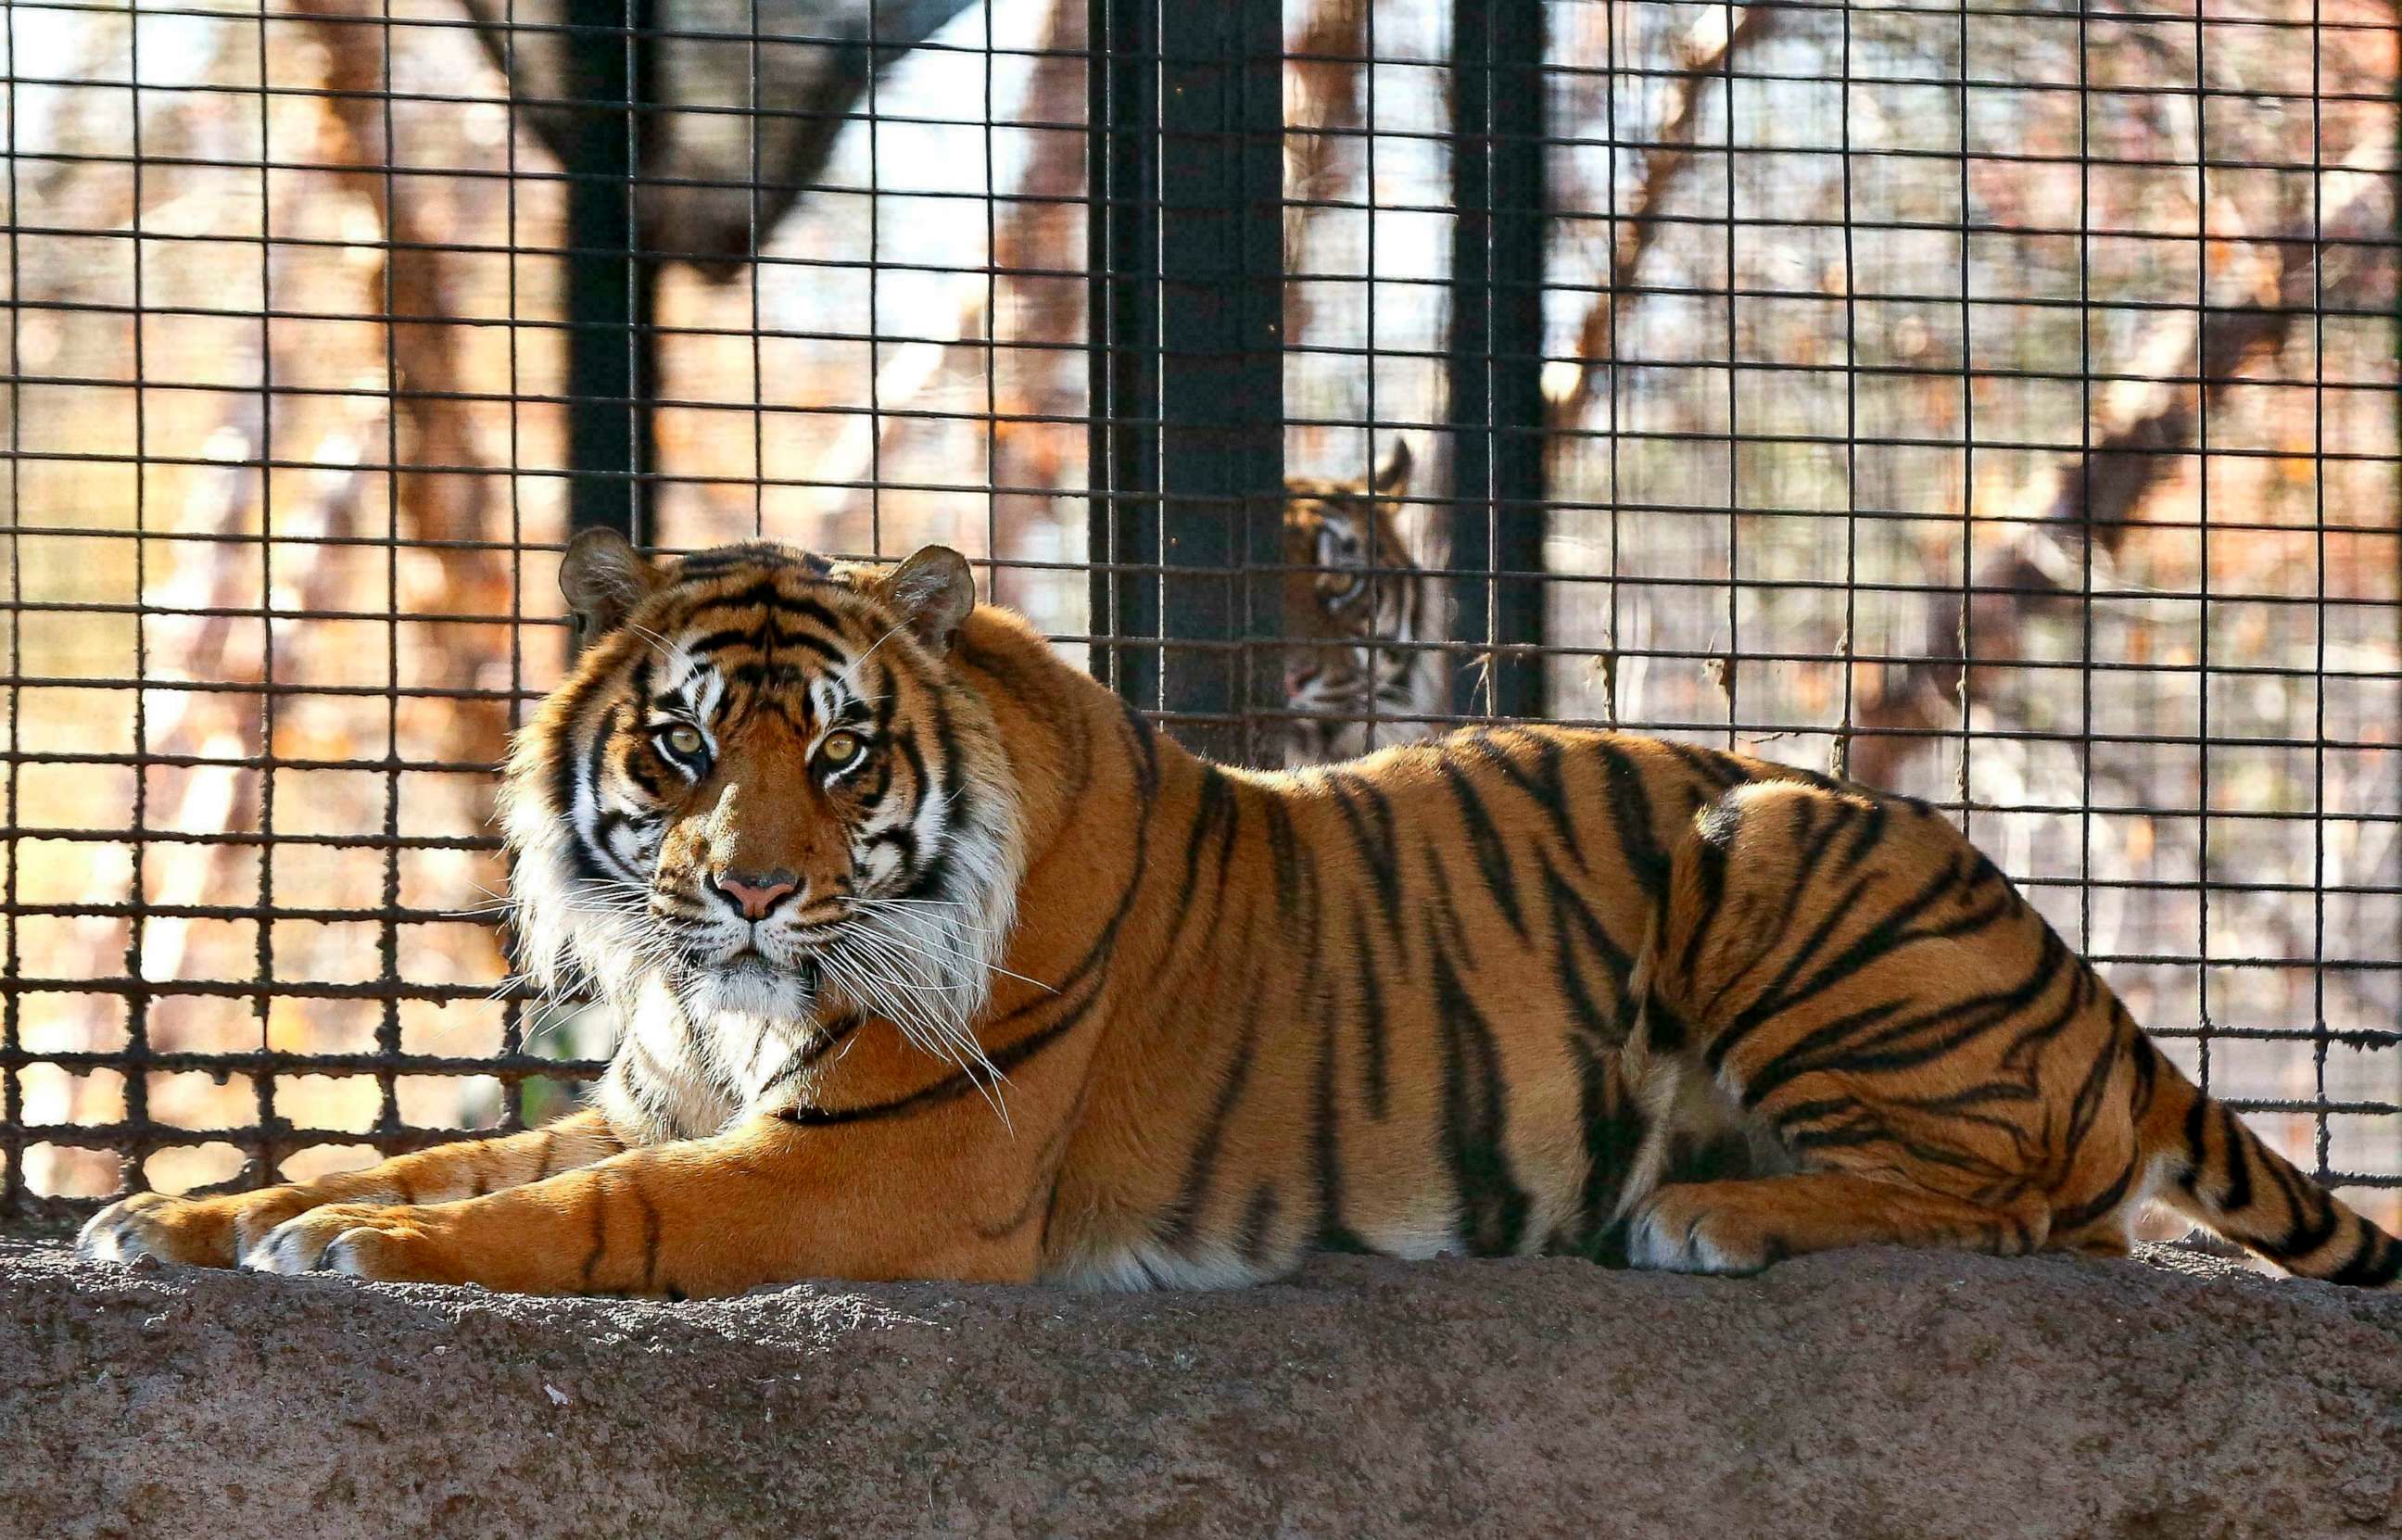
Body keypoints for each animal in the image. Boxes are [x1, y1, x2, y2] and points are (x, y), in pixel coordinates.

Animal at [75, 533, 2402, 1287]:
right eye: (680, 746)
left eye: (838, 757)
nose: (744, 891)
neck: (717, 1002)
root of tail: (2102, 1000)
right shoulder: (675, 1086)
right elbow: (438, 1148)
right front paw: (184, 1215)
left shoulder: (869, 1168)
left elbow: (575, 1215)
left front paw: (354, 1253)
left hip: (1767, 837)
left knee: (2033, 1200)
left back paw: (1712, 1208)